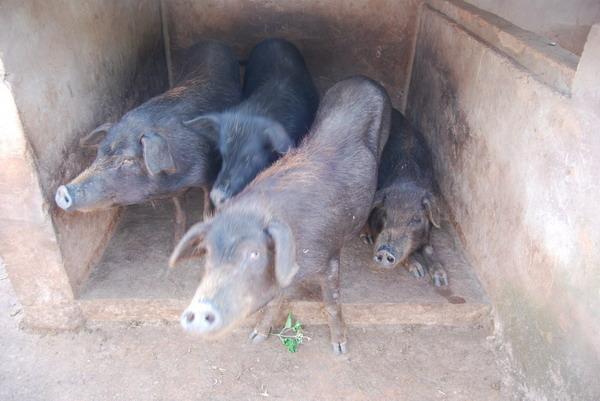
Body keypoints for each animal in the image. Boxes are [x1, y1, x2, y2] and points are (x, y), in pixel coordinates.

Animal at [55, 40, 243, 241]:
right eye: (99, 153)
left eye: (127, 160)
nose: (62, 191)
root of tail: (211, 42)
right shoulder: (176, 190)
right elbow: (179, 211)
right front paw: (177, 238)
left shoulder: (210, 174)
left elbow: (208, 210)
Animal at [170, 75, 394, 354]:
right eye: (209, 252)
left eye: (254, 253)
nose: (198, 311)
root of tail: (362, 79)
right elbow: (275, 300)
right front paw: (256, 336)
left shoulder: (329, 255)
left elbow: (332, 302)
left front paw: (340, 349)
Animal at [360, 108, 450, 286]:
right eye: (385, 214)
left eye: (416, 219)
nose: (385, 251)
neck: (407, 181)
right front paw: (418, 272)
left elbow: (429, 248)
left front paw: (441, 281)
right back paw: (365, 238)